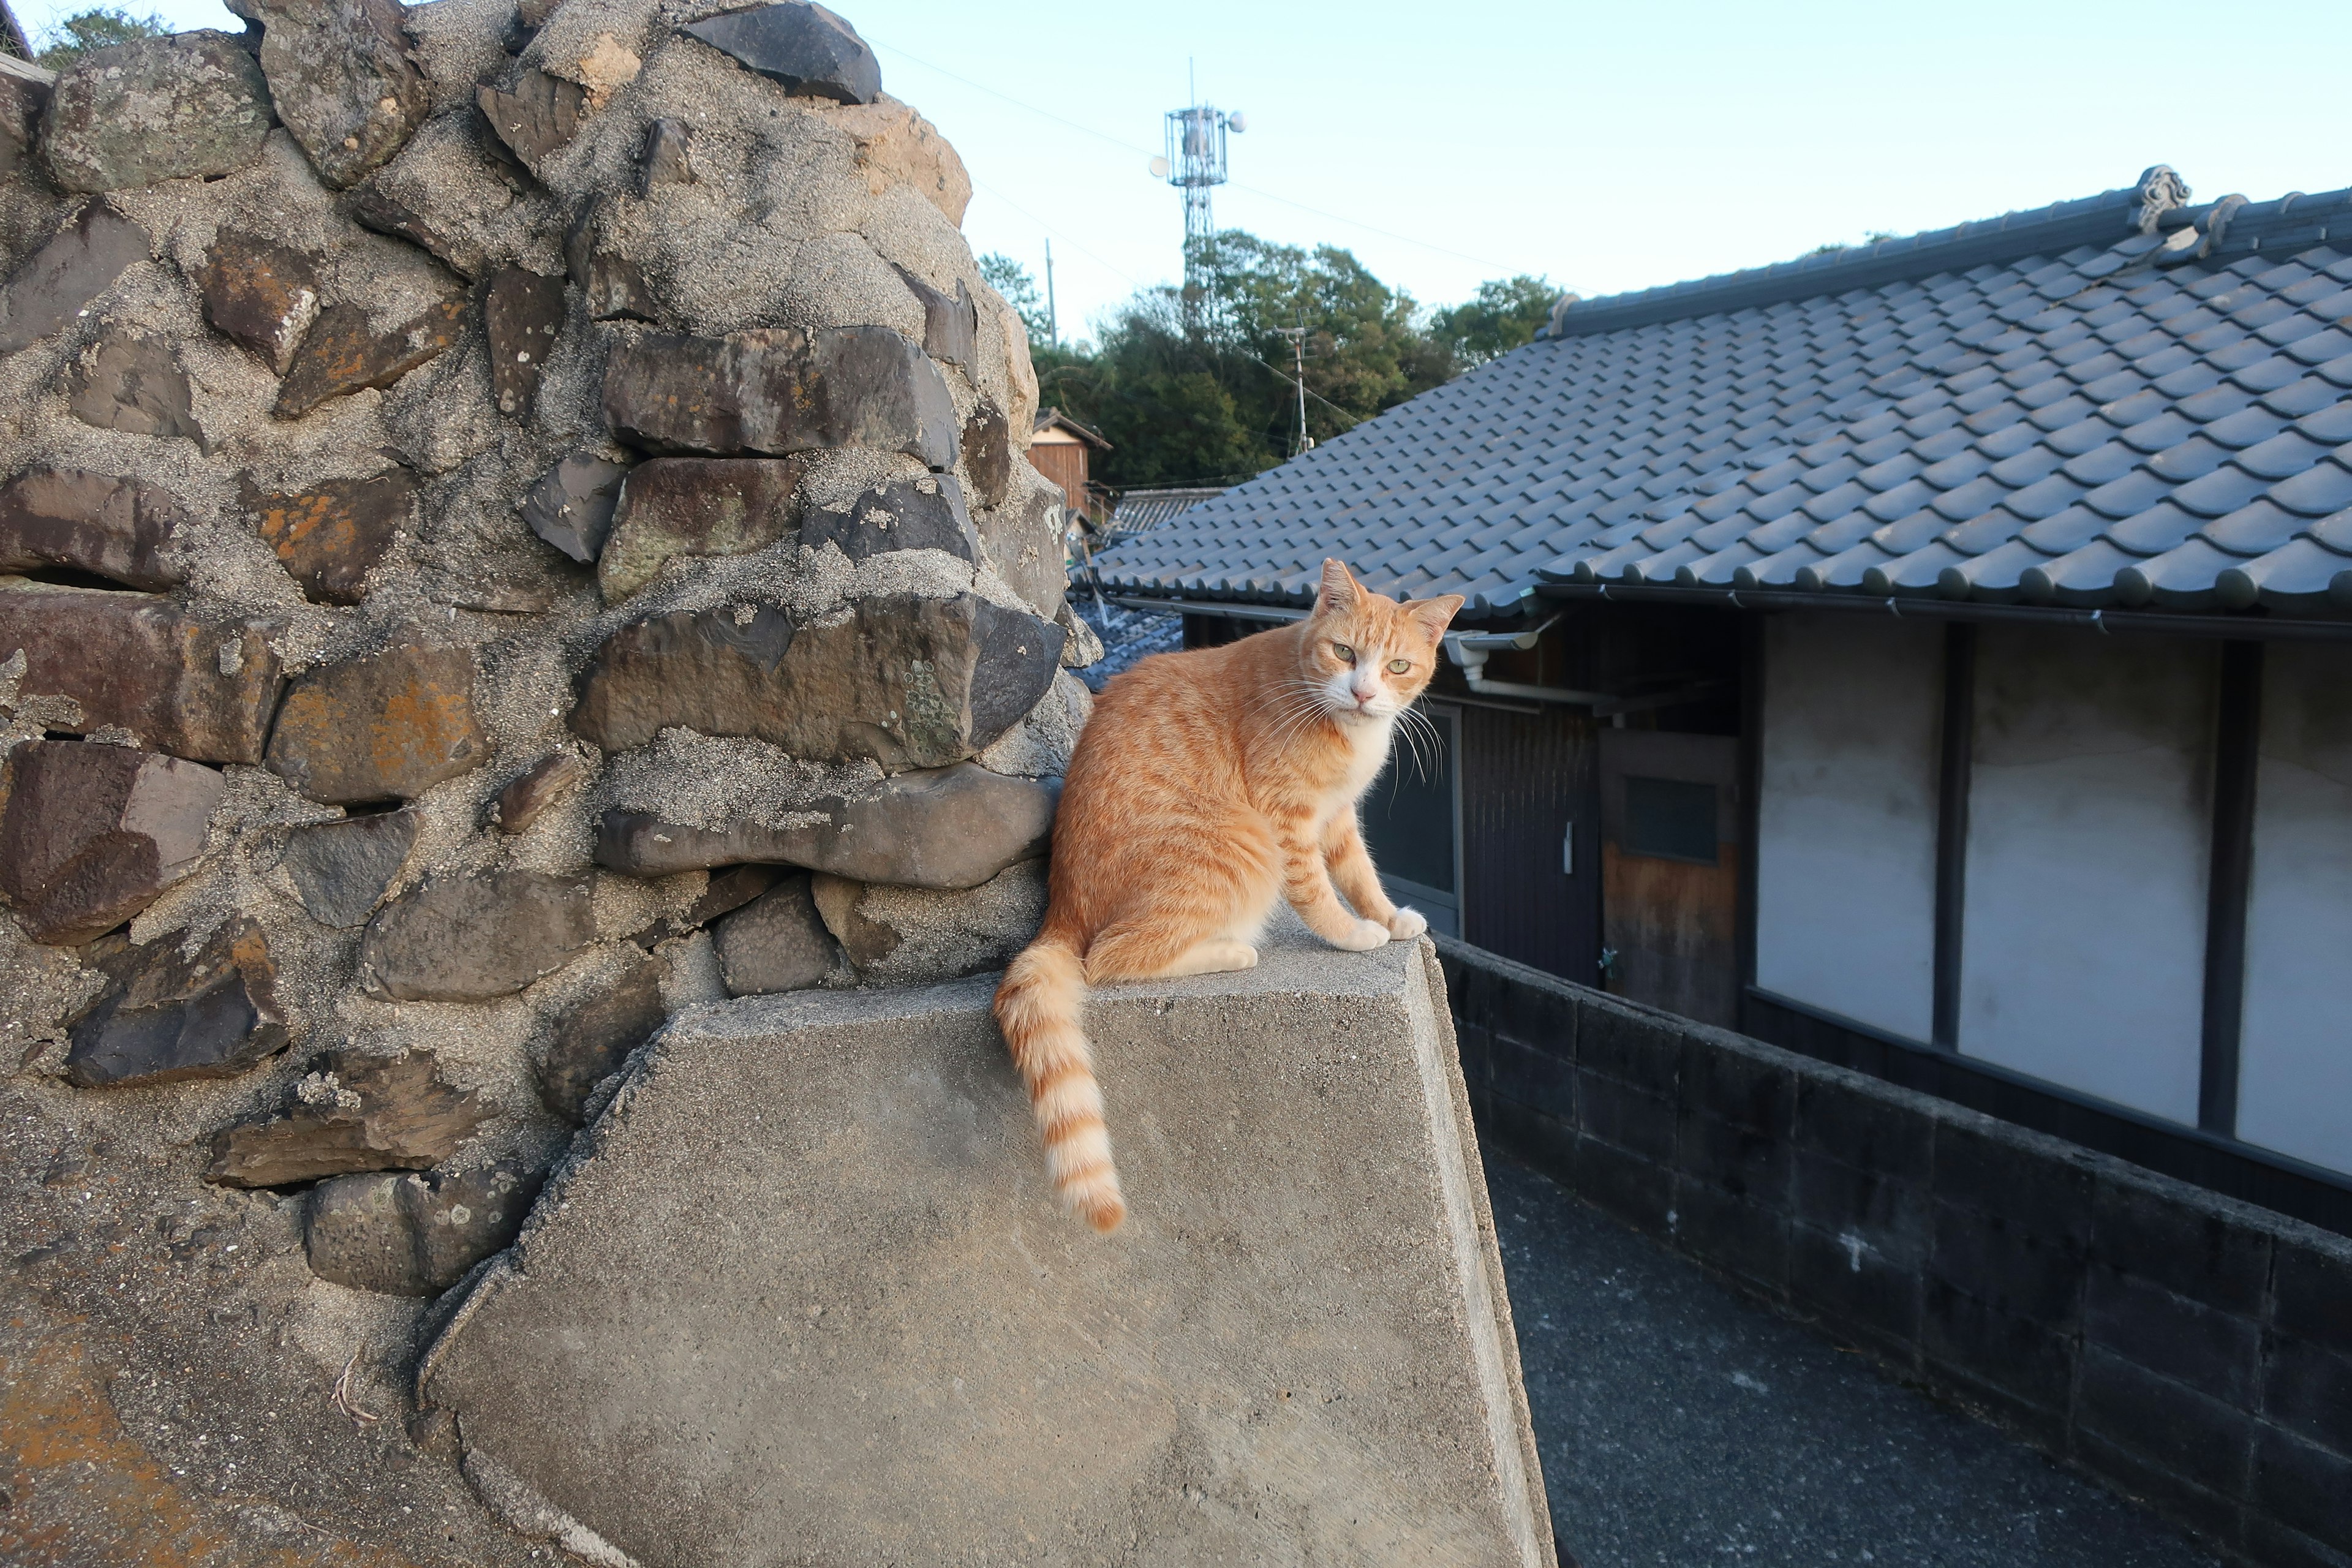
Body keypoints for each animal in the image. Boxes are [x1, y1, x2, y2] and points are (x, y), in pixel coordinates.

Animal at [987, 557, 1458, 1232]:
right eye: (1344, 652)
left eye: (1396, 666)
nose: (1364, 692)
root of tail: (1060, 908)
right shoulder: (1288, 824)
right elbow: (1319, 894)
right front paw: (1352, 934)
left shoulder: (1338, 820)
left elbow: (1360, 876)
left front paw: (1390, 918)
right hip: (1242, 843)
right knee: (1108, 957)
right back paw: (1230, 950)